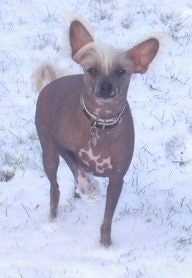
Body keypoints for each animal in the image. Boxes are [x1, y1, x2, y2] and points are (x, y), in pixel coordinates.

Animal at [34, 18, 159, 247]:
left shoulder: (117, 178)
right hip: (49, 153)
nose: (105, 87)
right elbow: (77, 166)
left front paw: (105, 244)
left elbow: (108, 217)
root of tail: (52, 82)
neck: (100, 123)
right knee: (55, 188)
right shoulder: (62, 146)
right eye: (91, 70)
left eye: (121, 71)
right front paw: (89, 187)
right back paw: (54, 219)